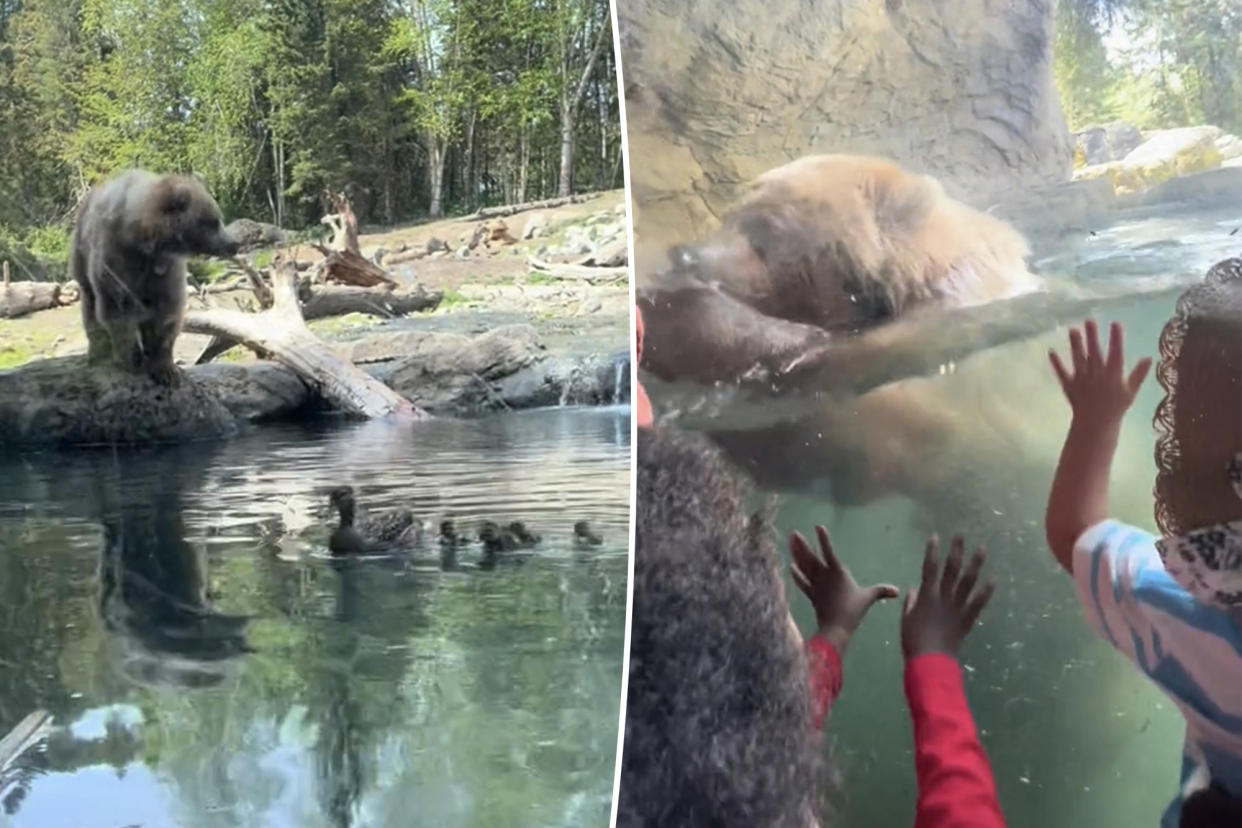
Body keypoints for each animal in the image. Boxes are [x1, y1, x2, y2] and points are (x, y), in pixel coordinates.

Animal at [70, 171, 237, 389]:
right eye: (213, 221)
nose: (233, 244)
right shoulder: (116, 259)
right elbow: (118, 310)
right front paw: (132, 359)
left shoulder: (166, 272)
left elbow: (165, 316)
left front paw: (165, 370)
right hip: (81, 255)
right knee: (90, 305)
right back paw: (97, 352)